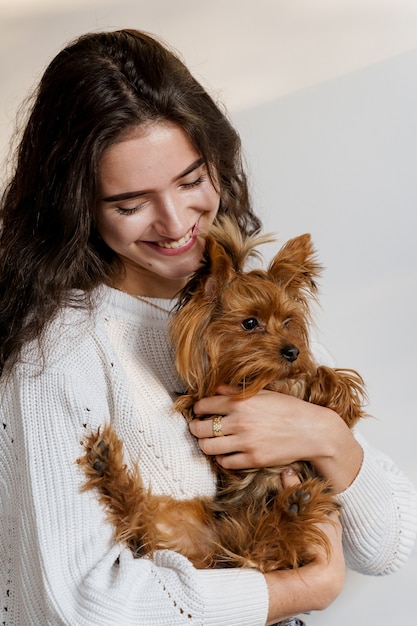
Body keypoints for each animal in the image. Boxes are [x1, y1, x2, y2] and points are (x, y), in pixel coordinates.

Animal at [77, 214, 364, 572]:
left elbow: (326, 384)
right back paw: (294, 509)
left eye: (288, 322)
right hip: (196, 530)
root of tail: (228, 550)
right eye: (250, 323)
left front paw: (329, 388)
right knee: (267, 545)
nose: (292, 351)